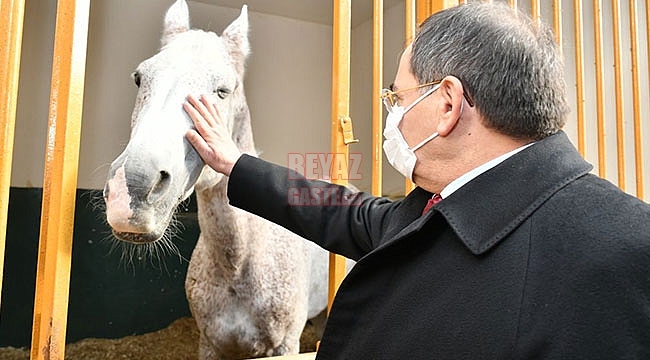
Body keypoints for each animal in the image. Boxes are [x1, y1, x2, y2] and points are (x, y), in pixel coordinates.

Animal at [103, 2, 336, 358]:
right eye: (139, 78)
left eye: (224, 90)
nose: (132, 188)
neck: (238, 264)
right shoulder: (210, 344)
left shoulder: (285, 346)